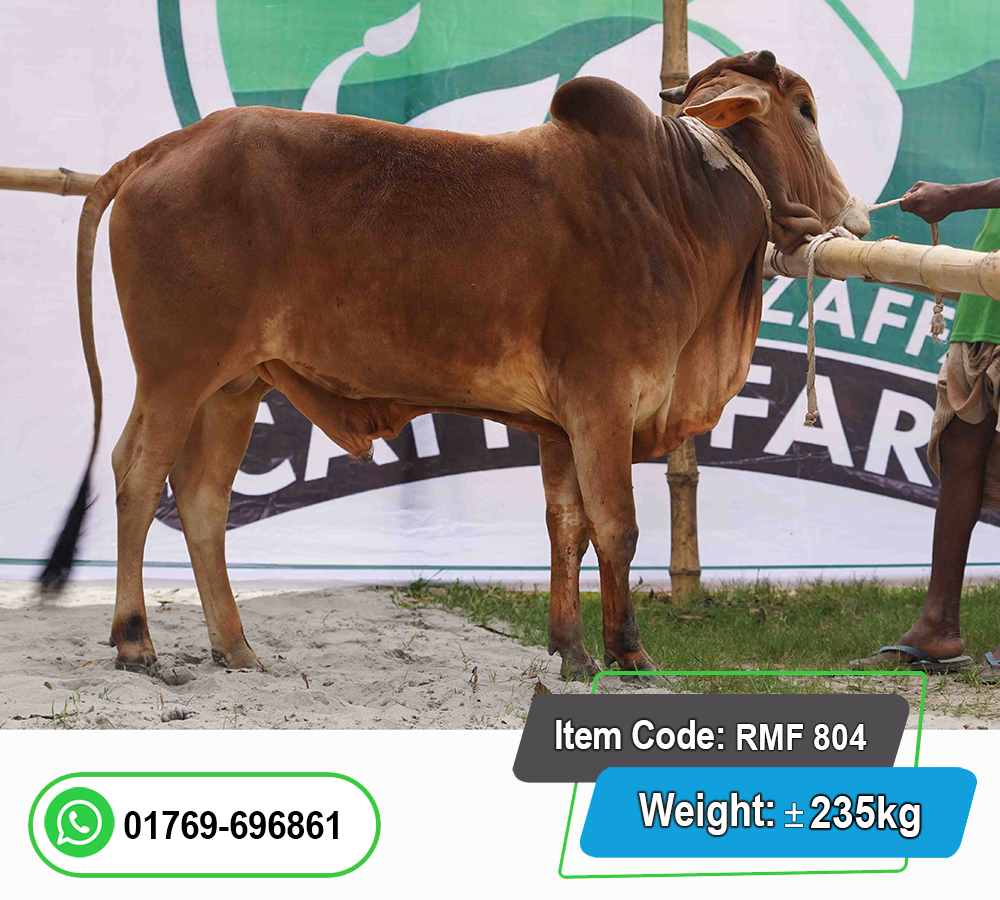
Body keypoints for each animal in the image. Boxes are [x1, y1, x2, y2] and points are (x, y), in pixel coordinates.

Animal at [41, 50, 869, 680]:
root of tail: (169, 146)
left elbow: (565, 528)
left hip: (235, 386)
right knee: (137, 475)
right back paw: (136, 641)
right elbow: (617, 528)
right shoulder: (601, 404)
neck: (674, 201)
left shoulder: (559, 425)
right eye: (804, 108)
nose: (855, 211)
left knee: (203, 498)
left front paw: (572, 652)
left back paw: (236, 647)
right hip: (175, 374)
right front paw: (628, 655)